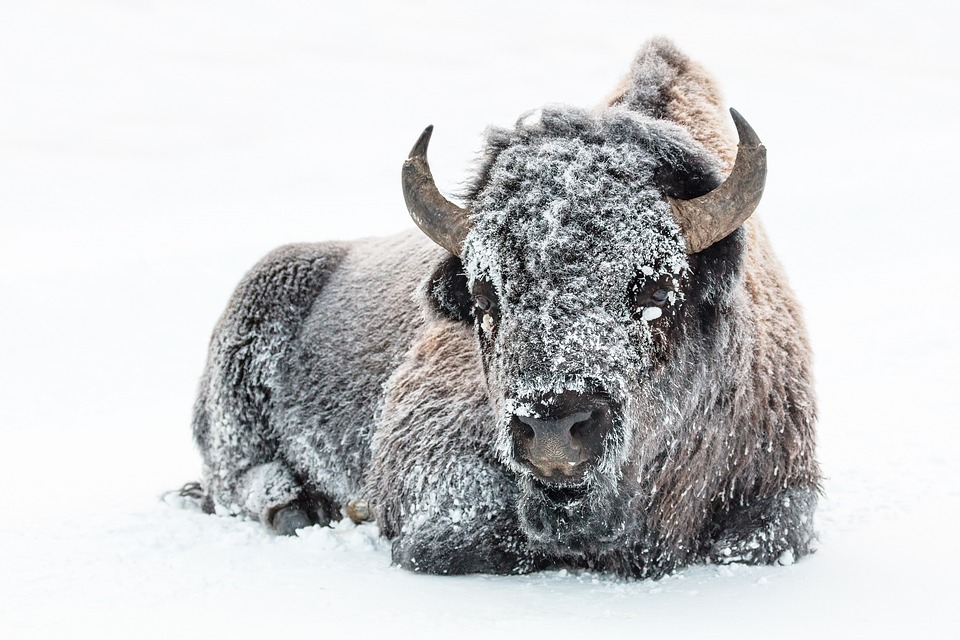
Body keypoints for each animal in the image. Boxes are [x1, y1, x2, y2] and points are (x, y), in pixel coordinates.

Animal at [193, 37, 816, 576]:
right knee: (238, 474)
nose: (554, 427)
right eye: (486, 294)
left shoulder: (784, 490)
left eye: (658, 290)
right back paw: (300, 508)